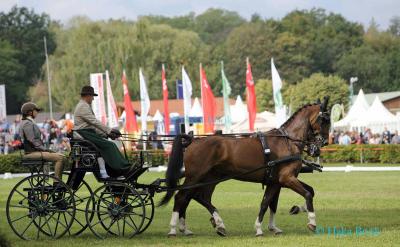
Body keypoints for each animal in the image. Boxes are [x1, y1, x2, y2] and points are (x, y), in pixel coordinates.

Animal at [159, 96, 332, 235]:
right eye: (324, 119)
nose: (322, 144)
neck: (287, 142)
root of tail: (192, 141)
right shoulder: (287, 179)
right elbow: (307, 194)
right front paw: (312, 222)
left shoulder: (276, 182)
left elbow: (268, 203)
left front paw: (269, 225)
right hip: (195, 177)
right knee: (181, 197)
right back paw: (174, 228)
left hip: (209, 178)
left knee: (198, 197)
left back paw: (213, 225)